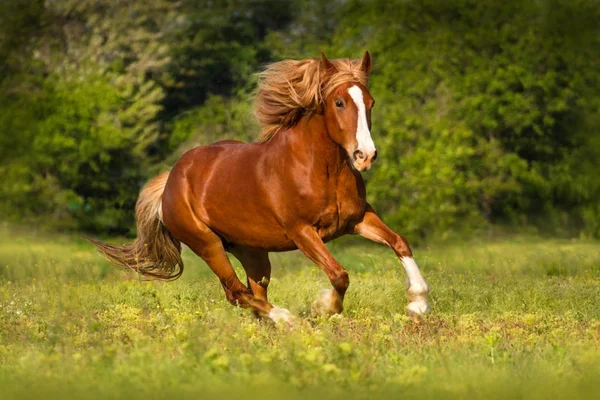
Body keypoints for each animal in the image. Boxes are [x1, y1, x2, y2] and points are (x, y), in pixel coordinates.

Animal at [90, 51, 432, 324]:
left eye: (370, 102)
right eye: (339, 102)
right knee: (238, 291)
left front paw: (417, 305)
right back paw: (287, 319)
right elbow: (339, 274)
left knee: (251, 291)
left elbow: (399, 243)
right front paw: (323, 307)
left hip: (252, 251)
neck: (321, 170)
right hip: (208, 245)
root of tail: (171, 180)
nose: (365, 155)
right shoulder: (302, 231)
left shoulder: (358, 219)